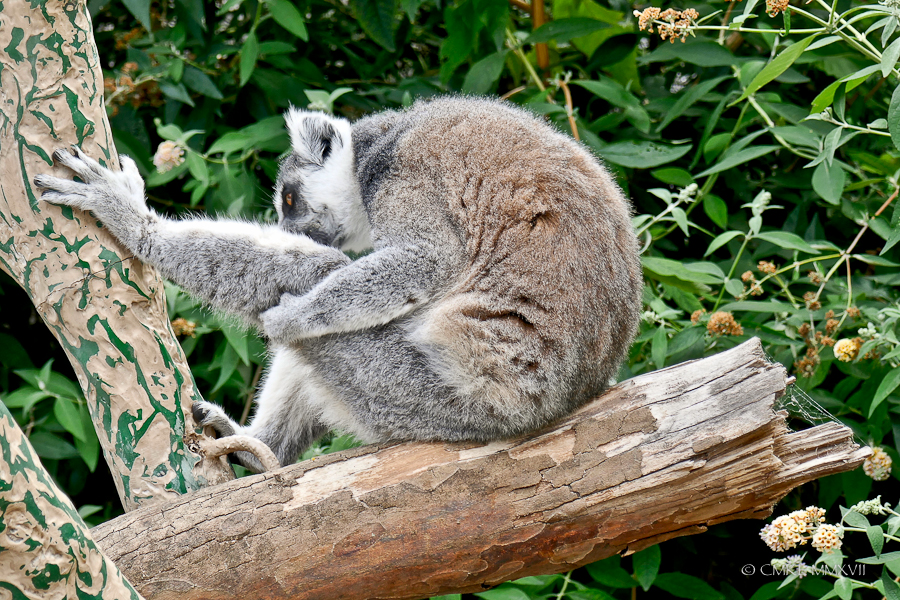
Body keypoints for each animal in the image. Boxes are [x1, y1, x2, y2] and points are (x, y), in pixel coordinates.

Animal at [34, 96, 643, 472]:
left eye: (288, 198)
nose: (285, 226)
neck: (383, 140)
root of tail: (564, 399)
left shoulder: (409, 176)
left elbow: (422, 260)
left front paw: (134, 222)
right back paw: (256, 451)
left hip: (433, 397)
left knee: (316, 281)